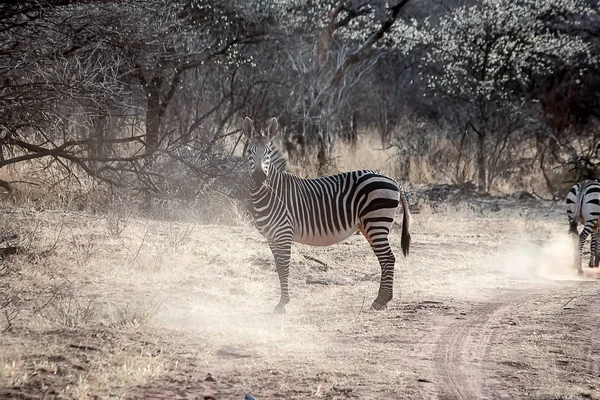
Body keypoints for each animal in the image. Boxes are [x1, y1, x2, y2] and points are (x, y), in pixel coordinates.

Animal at [241, 115, 410, 312]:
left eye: (268, 152)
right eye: (250, 152)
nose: (260, 177)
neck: (269, 192)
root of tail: (391, 179)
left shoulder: (283, 233)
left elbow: (283, 267)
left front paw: (282, 304)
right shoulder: (271, 237)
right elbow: (278, 267)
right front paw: (283, 301)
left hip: (377, 222)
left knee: (388, 258)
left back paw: (381, 301)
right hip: (369, 225)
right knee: (384, 259)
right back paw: (382, 300)